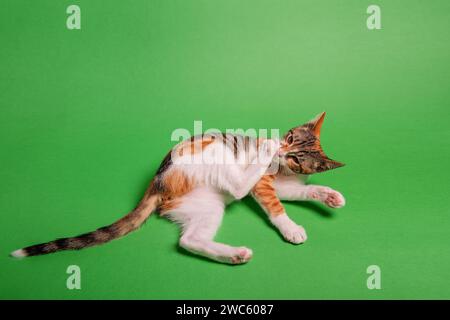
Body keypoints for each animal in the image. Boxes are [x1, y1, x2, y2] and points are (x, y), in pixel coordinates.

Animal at [13, 114, 344, 264]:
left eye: (298, 157)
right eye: (289, 137)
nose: (281, 148)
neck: (282, 171)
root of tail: (157, 181)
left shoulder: (284, 184)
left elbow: (297, 193)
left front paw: (328, 195)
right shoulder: (263, 184)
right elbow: (276, 206)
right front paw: (291, 228)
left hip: (206, 206)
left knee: (189, 240)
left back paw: (233, 254)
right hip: (213, 152)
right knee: (238, 186)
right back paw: (264, 149)